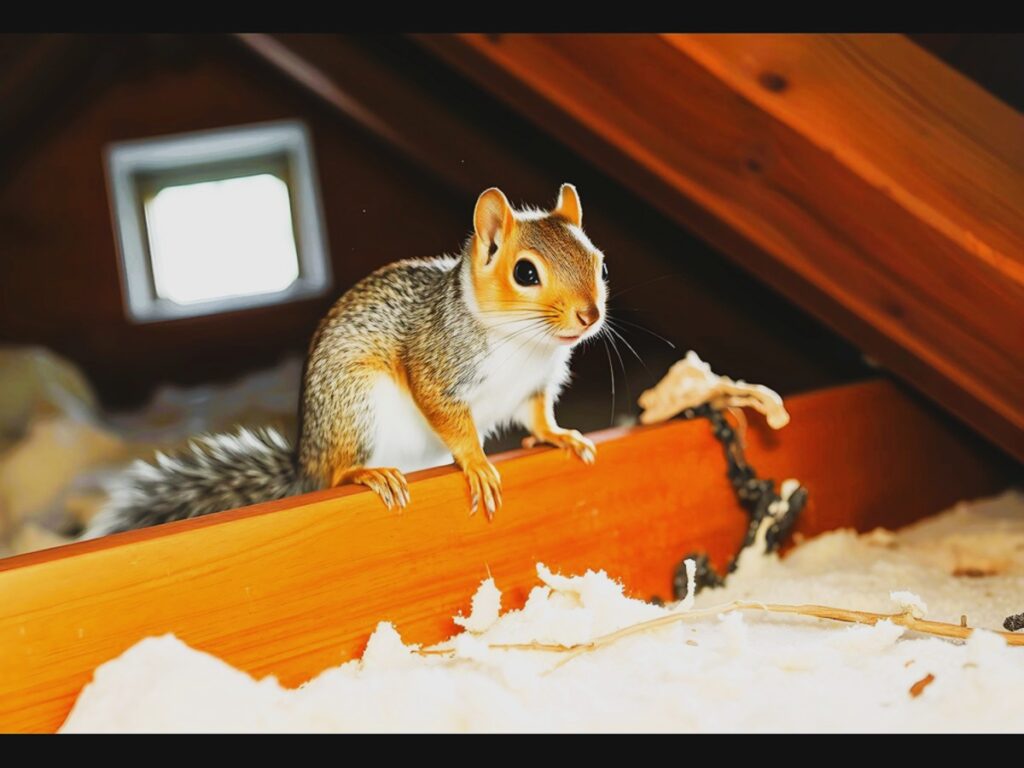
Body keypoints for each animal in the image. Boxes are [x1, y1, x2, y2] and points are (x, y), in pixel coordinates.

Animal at [83, 184, 607, 538]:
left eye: (599, 262)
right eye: (525, 273)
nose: (590, 315)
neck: (524, 343)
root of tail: (306, 464)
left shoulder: (534, 386)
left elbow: (537, 416)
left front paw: (561, 436)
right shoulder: (435, 363)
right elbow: (451, 419)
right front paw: (478, 462)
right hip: (355, 406)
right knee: (338, 474)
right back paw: (369, 474)